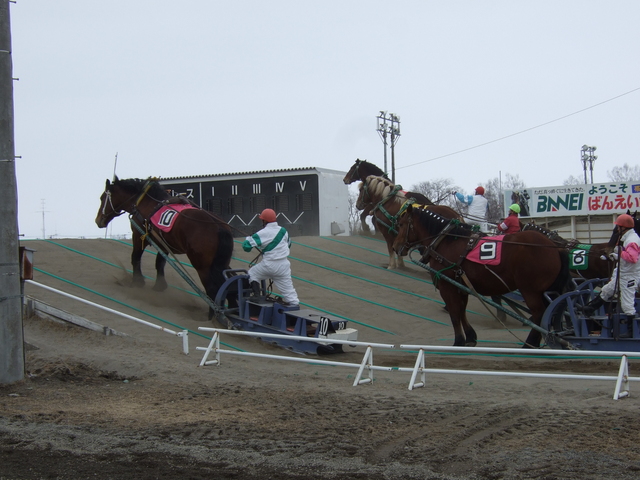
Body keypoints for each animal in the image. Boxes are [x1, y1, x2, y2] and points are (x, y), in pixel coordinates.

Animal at [95, 176, 234, 320]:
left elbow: (135, 258)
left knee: (212, 289)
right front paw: (159, 285)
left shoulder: (138, 235)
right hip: (220, 263)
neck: (147, 203)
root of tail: (218, 225)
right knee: (229, 284)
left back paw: (212, 315)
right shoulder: (163, 244)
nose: (98, 220)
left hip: (203, 266)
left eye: (102, 198)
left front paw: (137, 282)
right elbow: (160, 263)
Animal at [393, 204, 571, 348]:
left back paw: (529, 344)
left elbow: (454, 313)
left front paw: (459, 340)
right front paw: (470, 337)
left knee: (539, 314)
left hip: (530, 291)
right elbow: (461, 310)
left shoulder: (447, 286)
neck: (447, 240)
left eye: (401, 224)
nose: (396, 247)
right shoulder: (461, 285)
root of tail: (555, 247)